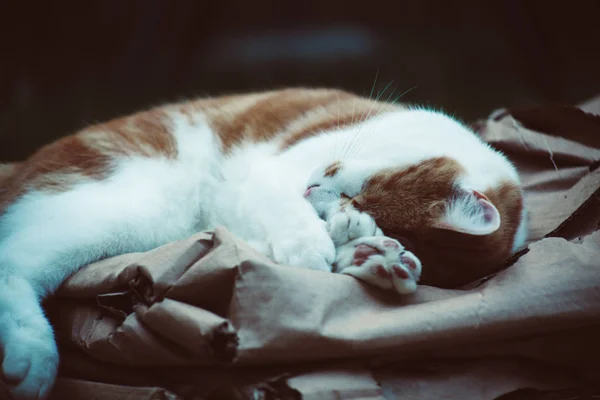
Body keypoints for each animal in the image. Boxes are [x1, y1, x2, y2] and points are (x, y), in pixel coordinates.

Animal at [0, 89, 524, 398]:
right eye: (356, 196)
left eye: (352, 208)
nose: (316, 190)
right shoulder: (272, 174)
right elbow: (284, 213)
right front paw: (313, 247)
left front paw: (377, 258)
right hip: (135, 203)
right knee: (14, 261)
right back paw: (31, 358)